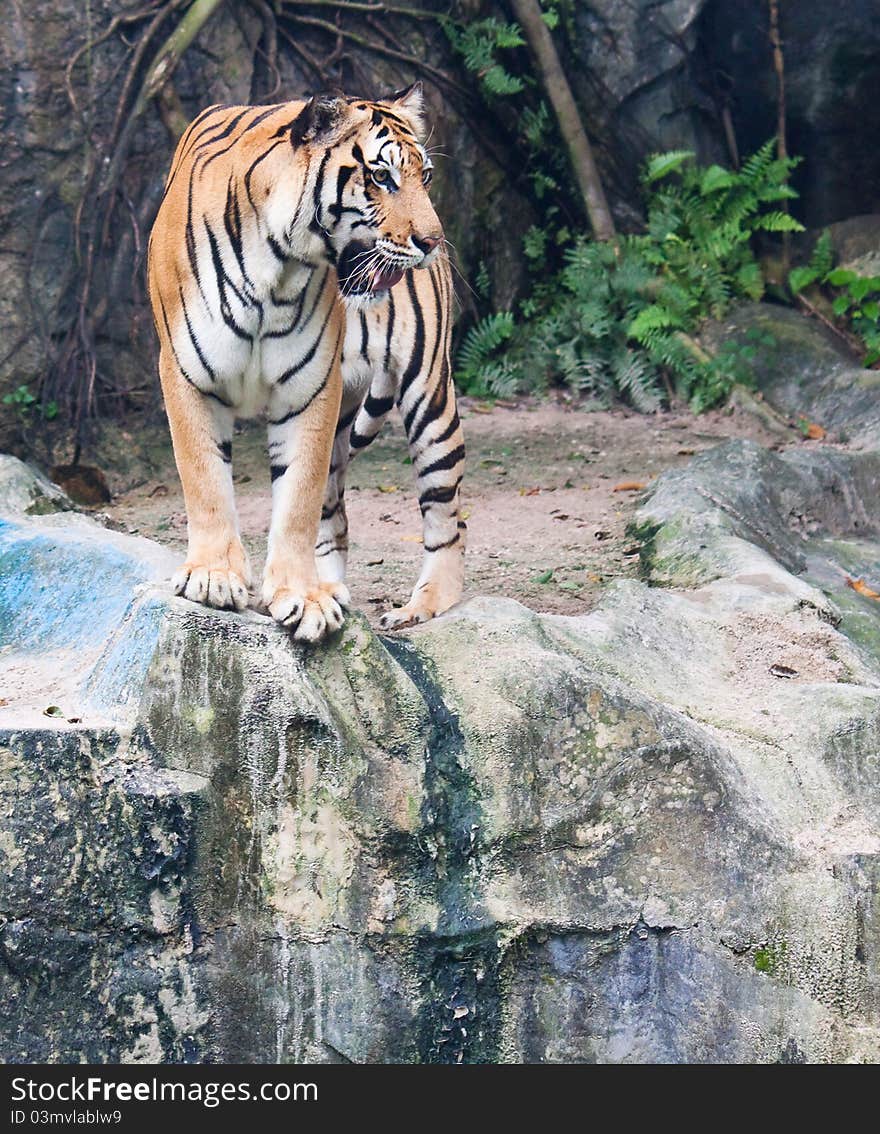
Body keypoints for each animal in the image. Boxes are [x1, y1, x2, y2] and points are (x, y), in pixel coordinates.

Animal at [147, 83, 464, 644]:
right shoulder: (186, 374)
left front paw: (302, 595)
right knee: (335, 517)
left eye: (424, 177)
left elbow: (297, 499)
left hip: (429, 391)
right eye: (381, 177)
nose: (432, 243)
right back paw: (334, 585)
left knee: (446, 516)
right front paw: (214, 577)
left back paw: (420, 605)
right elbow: (205, 480)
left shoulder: (310, 388)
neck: (277, 264)